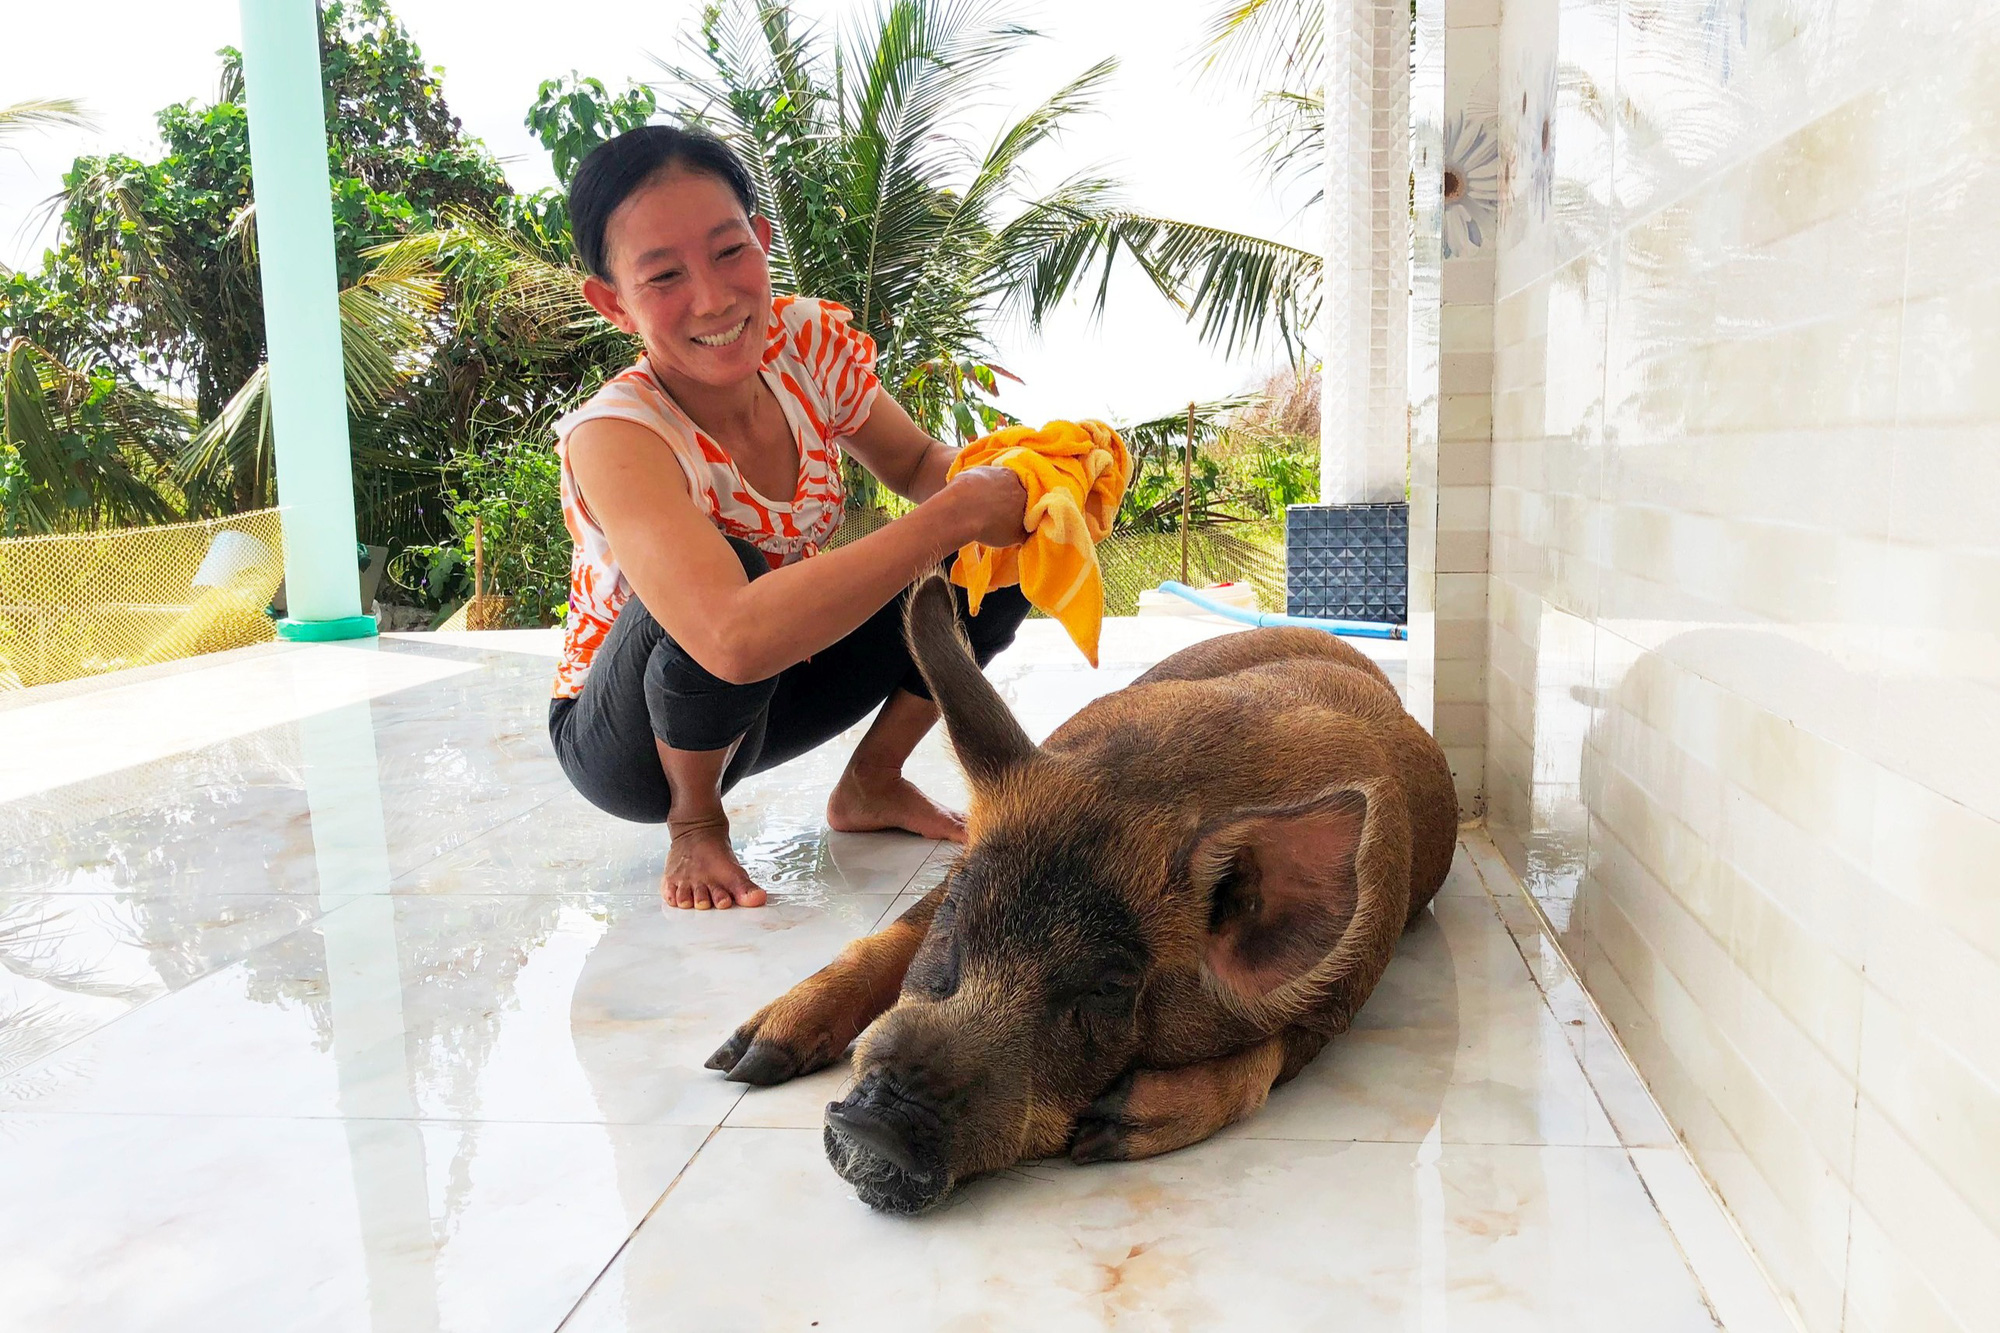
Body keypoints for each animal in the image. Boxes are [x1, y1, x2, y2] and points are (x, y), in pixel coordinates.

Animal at [704, 576, 1456, 1208]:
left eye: (1109, 986)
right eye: (960, 918)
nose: (874, 1125)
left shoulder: (1345, 990)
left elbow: (1266, 1063)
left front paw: (1102, 1131)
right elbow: (901, 928)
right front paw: (735, 1068)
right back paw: (747, 1057)